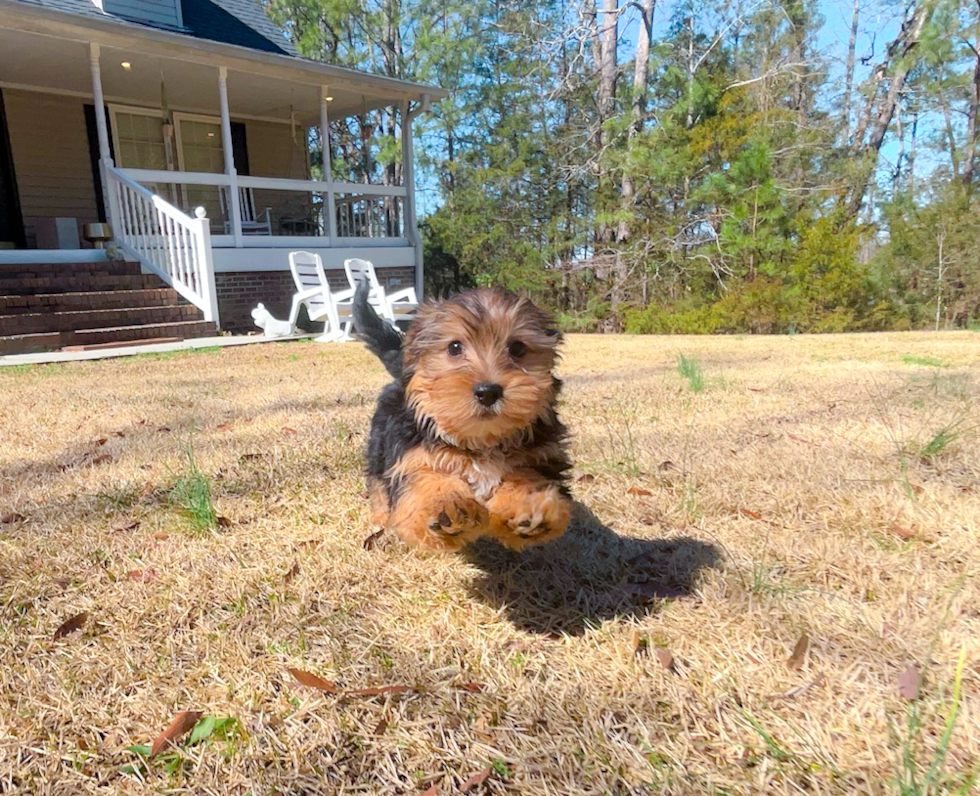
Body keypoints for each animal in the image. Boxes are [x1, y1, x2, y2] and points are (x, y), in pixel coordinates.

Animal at [354, 282, 576, 552]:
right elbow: (425, 480)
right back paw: (380, 515)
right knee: (377, 478)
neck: (482, 441)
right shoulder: (413, 454)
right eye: (454, 347)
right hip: (380, 442)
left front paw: (528, 505)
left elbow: (528, 476)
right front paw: (444, 505)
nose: (487, 391)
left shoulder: (539, 454)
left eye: (517, 348)